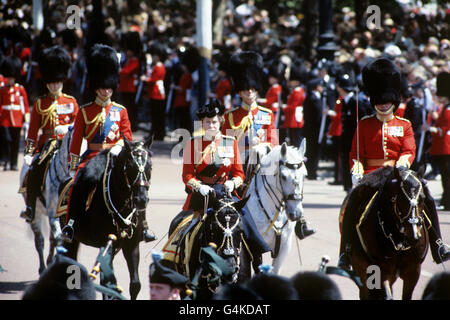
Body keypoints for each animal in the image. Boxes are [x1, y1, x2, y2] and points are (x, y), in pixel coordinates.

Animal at [18, 129, 85, 274]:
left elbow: (60, 239)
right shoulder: (53, 214)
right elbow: (58, 239)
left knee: (51, 239)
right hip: (36, 213)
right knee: (40, 241)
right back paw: (43, 268)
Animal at [61, 137, 153, 300]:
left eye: (150, 166)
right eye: (129, 166)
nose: (141, 199)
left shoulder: (132, 245)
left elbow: (135, 284)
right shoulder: (106, 244)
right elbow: (106, 285)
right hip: (70, 240)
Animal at [342, 166, 430, 298]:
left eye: (423, 198)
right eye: (400, 199)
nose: (414, 236)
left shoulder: (414, 270)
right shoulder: (381, 270)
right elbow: (387, 296)